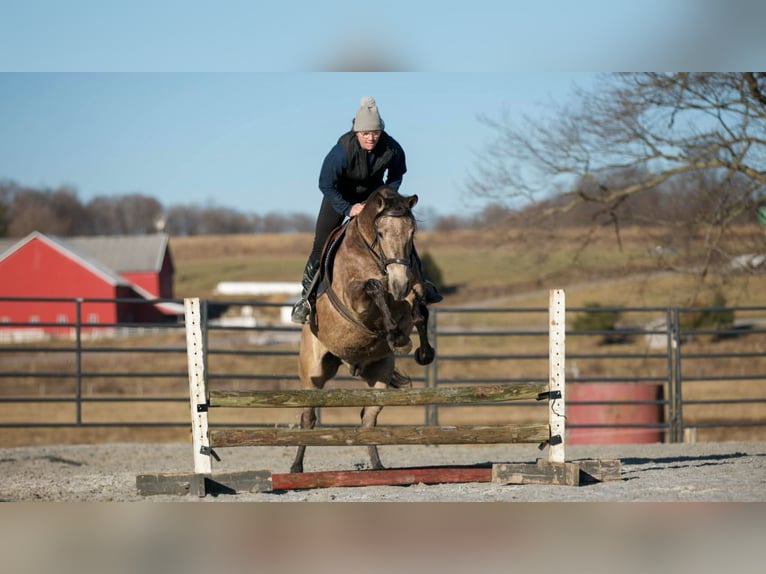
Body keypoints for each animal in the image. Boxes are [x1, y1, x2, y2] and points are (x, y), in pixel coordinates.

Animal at [292, 187, 438, 474]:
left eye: (412, 232)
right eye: (380, 233)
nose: (399, 283)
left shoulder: (412, 289)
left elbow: (419, 308)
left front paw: (422, 351)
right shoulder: (356, 299)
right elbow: (374, 287)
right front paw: (396, 335)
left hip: (379, 376)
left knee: (368, 420)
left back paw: (377, 467)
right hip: (312, 374)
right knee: (308, 418)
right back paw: (295, 468)